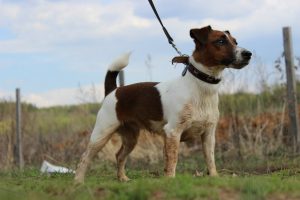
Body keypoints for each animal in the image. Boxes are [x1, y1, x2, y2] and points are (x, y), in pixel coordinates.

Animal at [74, 25, 252, 183]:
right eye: (220, 41)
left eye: (235, 41)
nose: (248, 54)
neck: (201, 87)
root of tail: (113, 90)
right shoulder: (173, 132)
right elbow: (172, 160)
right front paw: (170, 180)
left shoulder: (208, 134)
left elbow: (210, 159)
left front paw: (214, 178)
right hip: (101, 133)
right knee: (84, 158)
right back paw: (78, 181)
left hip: (131, 137)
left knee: (119, 156)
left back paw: (122, 178)